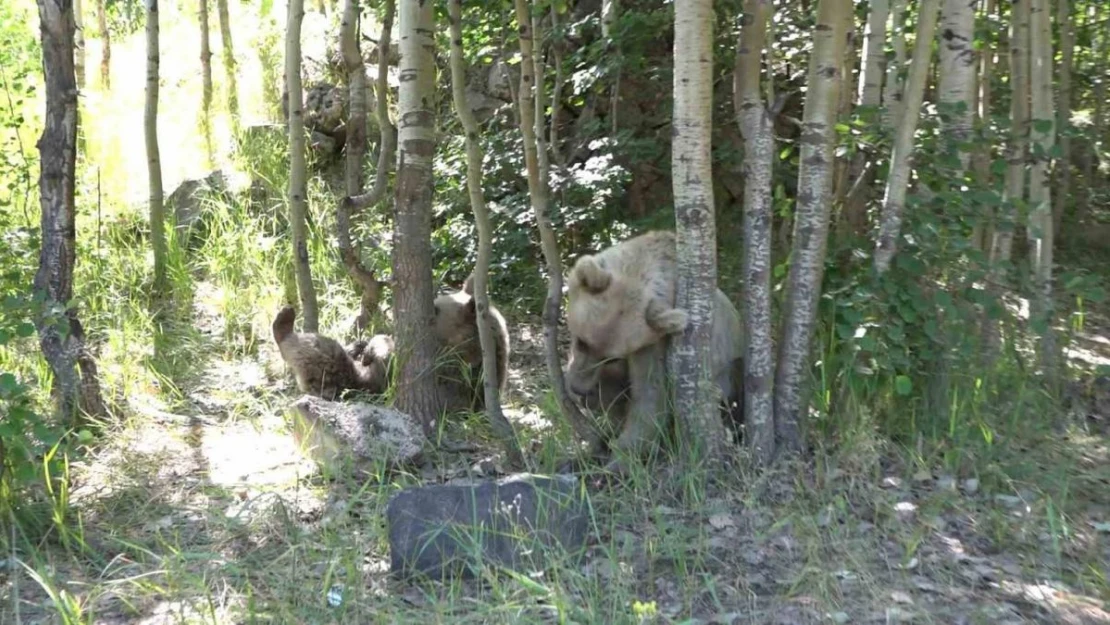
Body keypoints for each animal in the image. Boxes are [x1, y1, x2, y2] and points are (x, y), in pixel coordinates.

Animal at [568, 232, 741, 461]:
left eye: (612, 357)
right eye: (582, 341)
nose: (578, 388)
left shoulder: (653, 342)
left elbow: (651, 394)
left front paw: (622, 453)